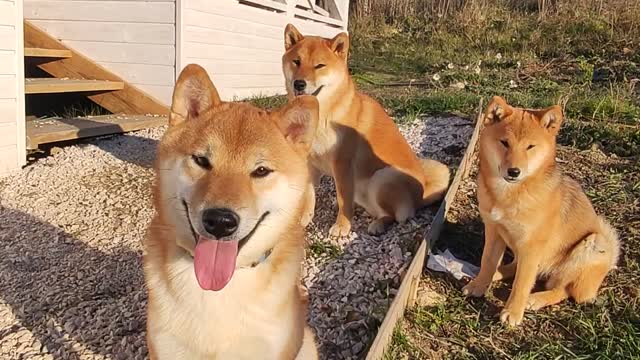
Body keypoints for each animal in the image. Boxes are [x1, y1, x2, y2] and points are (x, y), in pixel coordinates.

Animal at [464, 97, 620, 328]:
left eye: (530, 147)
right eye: (504, 143)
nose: (514, 171)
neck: (510, 194)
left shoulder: (532, 246)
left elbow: (521, 283)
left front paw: (513, 311)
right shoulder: (494, 231)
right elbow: (488, 261)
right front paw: (480, 284)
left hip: (590, 245)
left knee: (561, 290)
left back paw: (535, 299)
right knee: (517, 267)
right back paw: (498, 274)